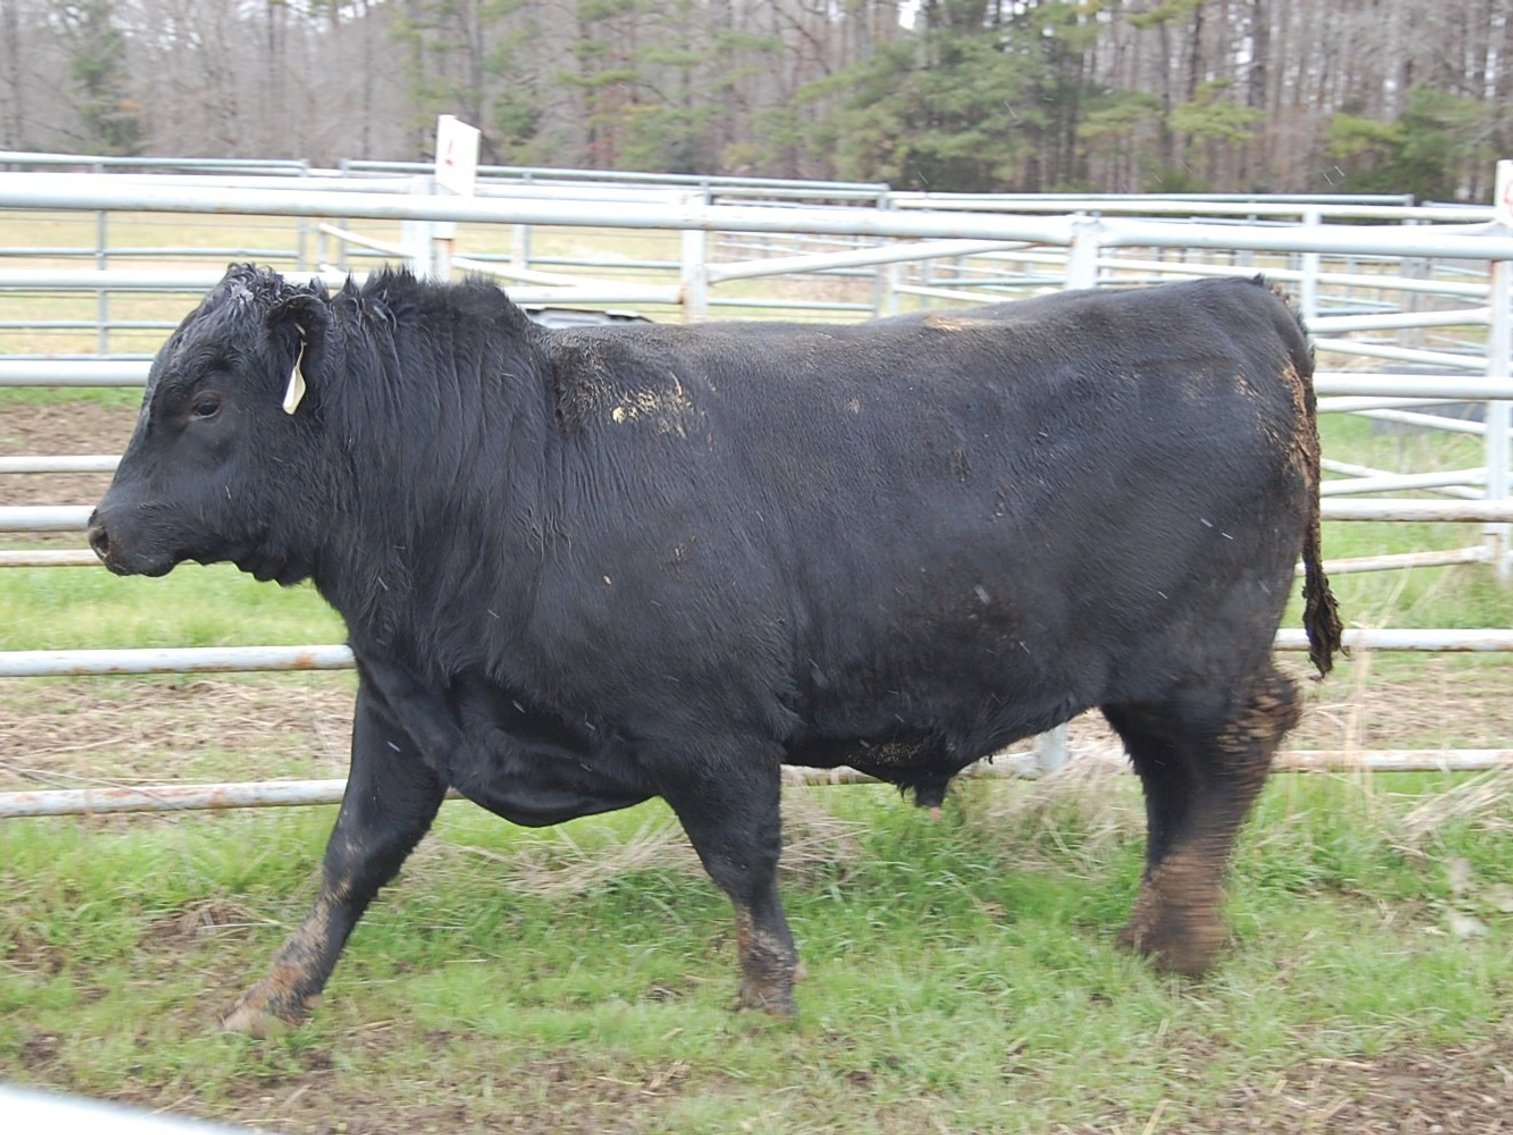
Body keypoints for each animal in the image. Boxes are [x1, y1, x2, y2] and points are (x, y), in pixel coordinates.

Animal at [88, 265, 1342, 1034]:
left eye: (206, 401)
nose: (101, 526)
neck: (497, 464)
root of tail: (1236, 298)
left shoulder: (713, 730)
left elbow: (743, 859)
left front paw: (767, 997)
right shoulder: (401, 717)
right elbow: (351, 860)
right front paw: (269, 1003)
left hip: (1200, 659)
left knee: (1238, 746)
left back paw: (1181, 933)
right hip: (1151, 678)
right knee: (1177, 779)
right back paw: (1156, 922)